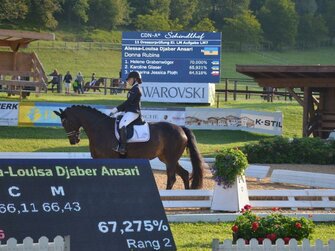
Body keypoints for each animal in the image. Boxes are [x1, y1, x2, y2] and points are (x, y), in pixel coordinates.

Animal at [54, 105, 207, 189]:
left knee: (172, 178)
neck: (99, 128)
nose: (73, 141)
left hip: (170, 159)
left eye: (65, 121)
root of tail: (180, 129)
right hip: (167, 158)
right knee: (185, 174)